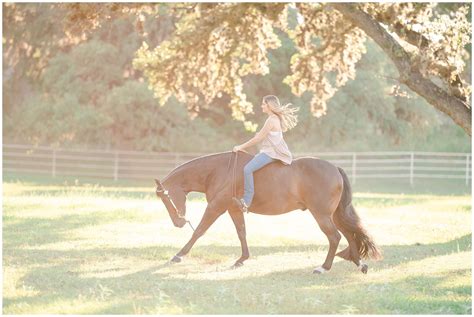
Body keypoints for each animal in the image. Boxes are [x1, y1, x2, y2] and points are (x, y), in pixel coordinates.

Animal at [156, 150, 382, 272]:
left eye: (165, 197)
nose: (178, 222)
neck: (219, 171)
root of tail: (335, 168)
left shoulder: (216, 207)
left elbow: (199, 231)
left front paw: (179, 255)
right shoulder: (233, 209)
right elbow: (241, 232)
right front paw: (242, 259)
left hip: (322, 215)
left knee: (335, 237)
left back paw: (323, 267)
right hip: (334, 215)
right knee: (350, 235)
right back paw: (359, 264)